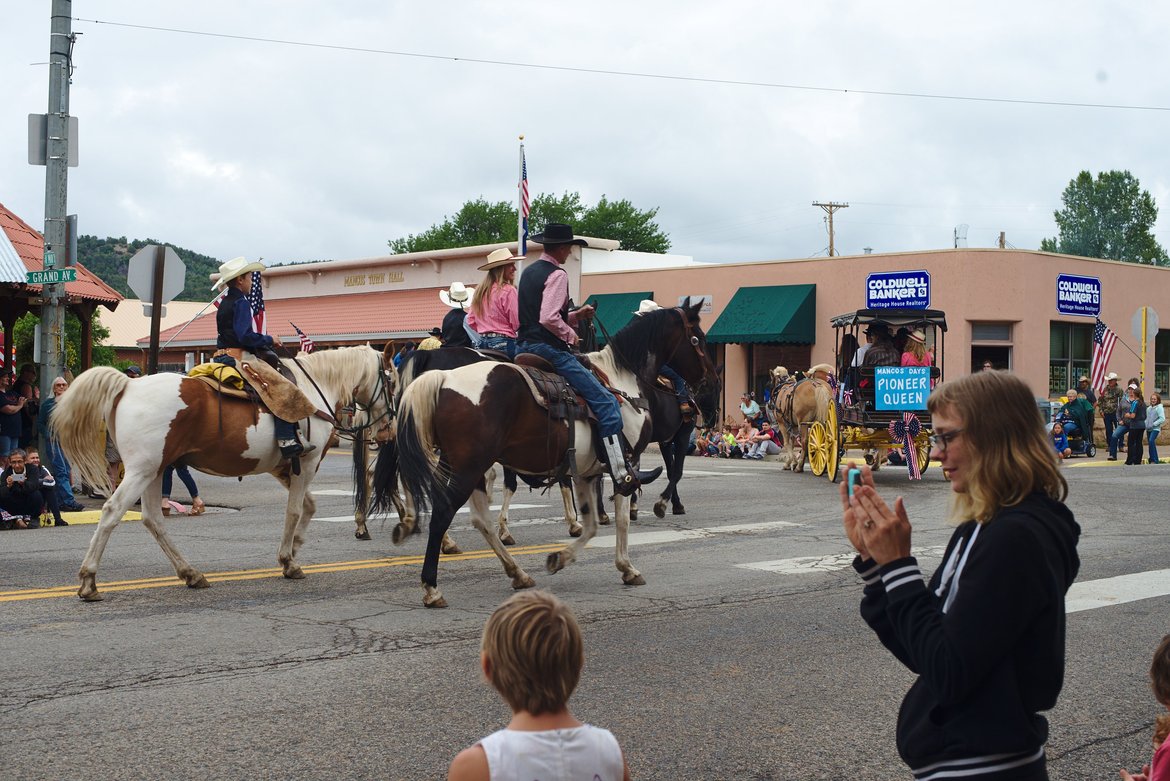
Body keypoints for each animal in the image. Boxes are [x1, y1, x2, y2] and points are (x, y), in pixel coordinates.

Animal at [51, 343, 393, 603]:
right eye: (390, 381)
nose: (386, 428)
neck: (314, 389)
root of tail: (129, 384)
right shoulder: (305, 464)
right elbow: (295, 510)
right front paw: (289, 561)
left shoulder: (285, 469)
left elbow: (309, 506)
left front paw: (293, 549)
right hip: (140, 471)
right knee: (112, 512)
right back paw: (89, 581)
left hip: (155, 470)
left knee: (153, 519)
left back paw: (191, 574)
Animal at [379, 301, 716, 607]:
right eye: (697, 337)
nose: (711, 383)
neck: (622, 381)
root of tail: (442, 378)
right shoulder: (628, 462)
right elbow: (623, 517)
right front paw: (627, 566)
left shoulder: (586, 470)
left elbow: (591, 523)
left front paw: (560, 557)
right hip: (468, 467)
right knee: (443, 513)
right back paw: (432, 587)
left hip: (462, 465)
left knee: (478, 518)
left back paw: (516, 572)